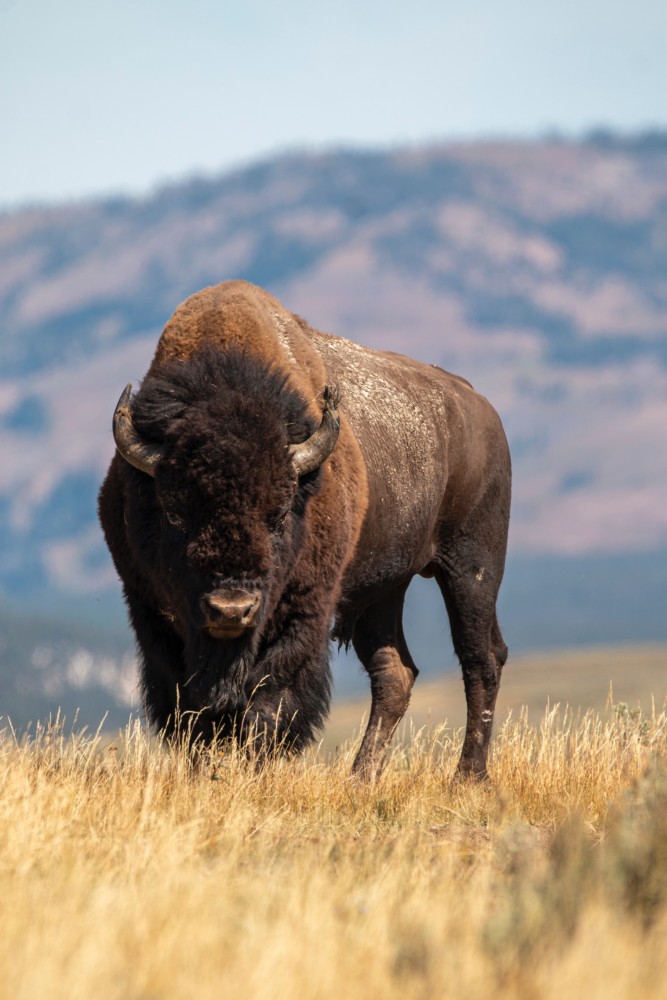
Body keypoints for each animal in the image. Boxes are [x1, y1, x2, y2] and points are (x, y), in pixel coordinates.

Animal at [99, 280, 511, 778]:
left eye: (278, 514)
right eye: (175, 514)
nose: (231, 610)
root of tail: (480, 407)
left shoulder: (304, 609)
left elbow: (269, 698)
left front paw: (254, 770)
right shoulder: (150, 609)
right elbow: (187, 708)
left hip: (472, 568)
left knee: (480, 660)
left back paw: (467, 777)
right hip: (382, 590)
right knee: (394, 673)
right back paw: (360, 777)